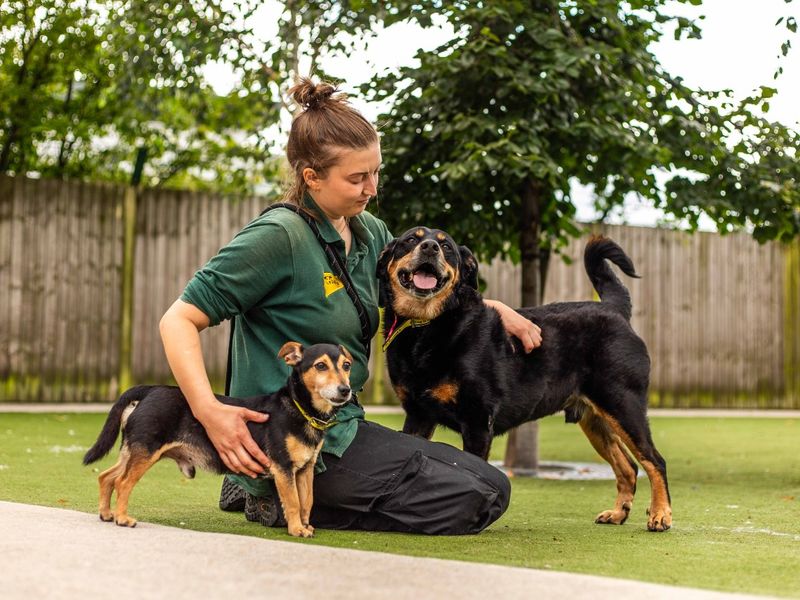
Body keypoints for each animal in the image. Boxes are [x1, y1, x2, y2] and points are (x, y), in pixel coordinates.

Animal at [82, 342, 354, 540]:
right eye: (321, 366)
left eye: (346, 366)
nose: (346, 390)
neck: (300, 409)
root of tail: (150, 390)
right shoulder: (283, 468)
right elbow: (294, 502)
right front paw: (297, 529)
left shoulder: (305, 469)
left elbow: (307, 501)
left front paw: (306, 526)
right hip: (145, 451)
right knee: (123, 482)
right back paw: (122, 518)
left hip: (133, 450)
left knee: (107, 476)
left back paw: (106, 513)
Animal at [378, 227, 672, 532]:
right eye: (411, 239)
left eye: (446, 246)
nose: (429, 247)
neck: (425, 328)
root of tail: (615, 309)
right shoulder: (419, 416)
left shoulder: (477, 420)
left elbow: (474, 471)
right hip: (595, 420)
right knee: (629, 467)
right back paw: (617, 513)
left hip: (623, 405)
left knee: (654, 460)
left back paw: (660, 514)